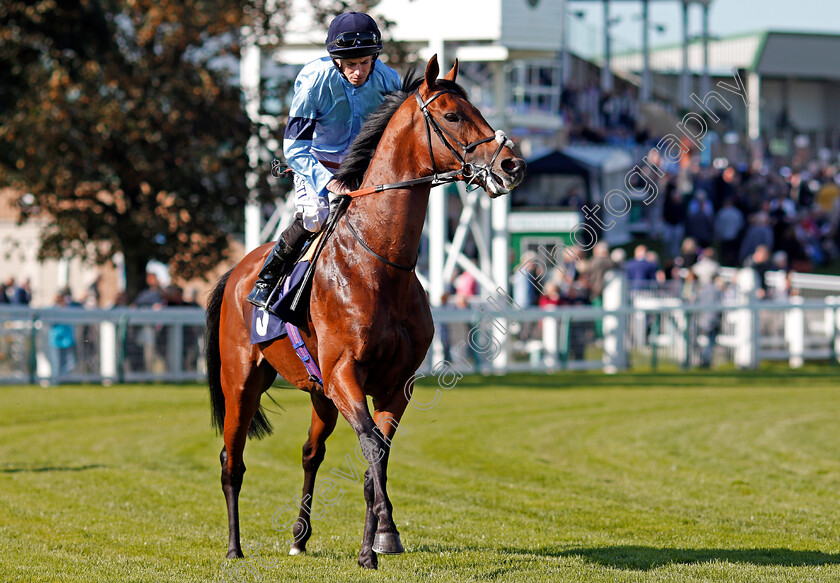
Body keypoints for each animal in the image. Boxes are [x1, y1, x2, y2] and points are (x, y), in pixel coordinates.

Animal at [205, 56, 524, 572]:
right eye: (453, 115)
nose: (513, 165)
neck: (378, 264)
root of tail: (236, 270)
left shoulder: (395, 384)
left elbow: (380, 454)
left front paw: (377, 540)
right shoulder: (344, 375)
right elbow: (372, 445)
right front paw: (379, 541)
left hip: (319, 394)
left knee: (310, 452)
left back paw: (299, 537)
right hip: (242, 383)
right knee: (231, 460)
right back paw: (234, 547)